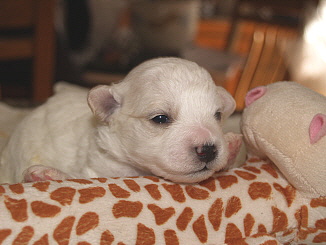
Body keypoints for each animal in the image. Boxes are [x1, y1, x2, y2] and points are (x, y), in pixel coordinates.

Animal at [0, 58, 242, 184]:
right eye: (160, 118)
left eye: (218, 115)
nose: (208, 149)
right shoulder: (99, 167)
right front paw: (45, 175)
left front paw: (232, 146)